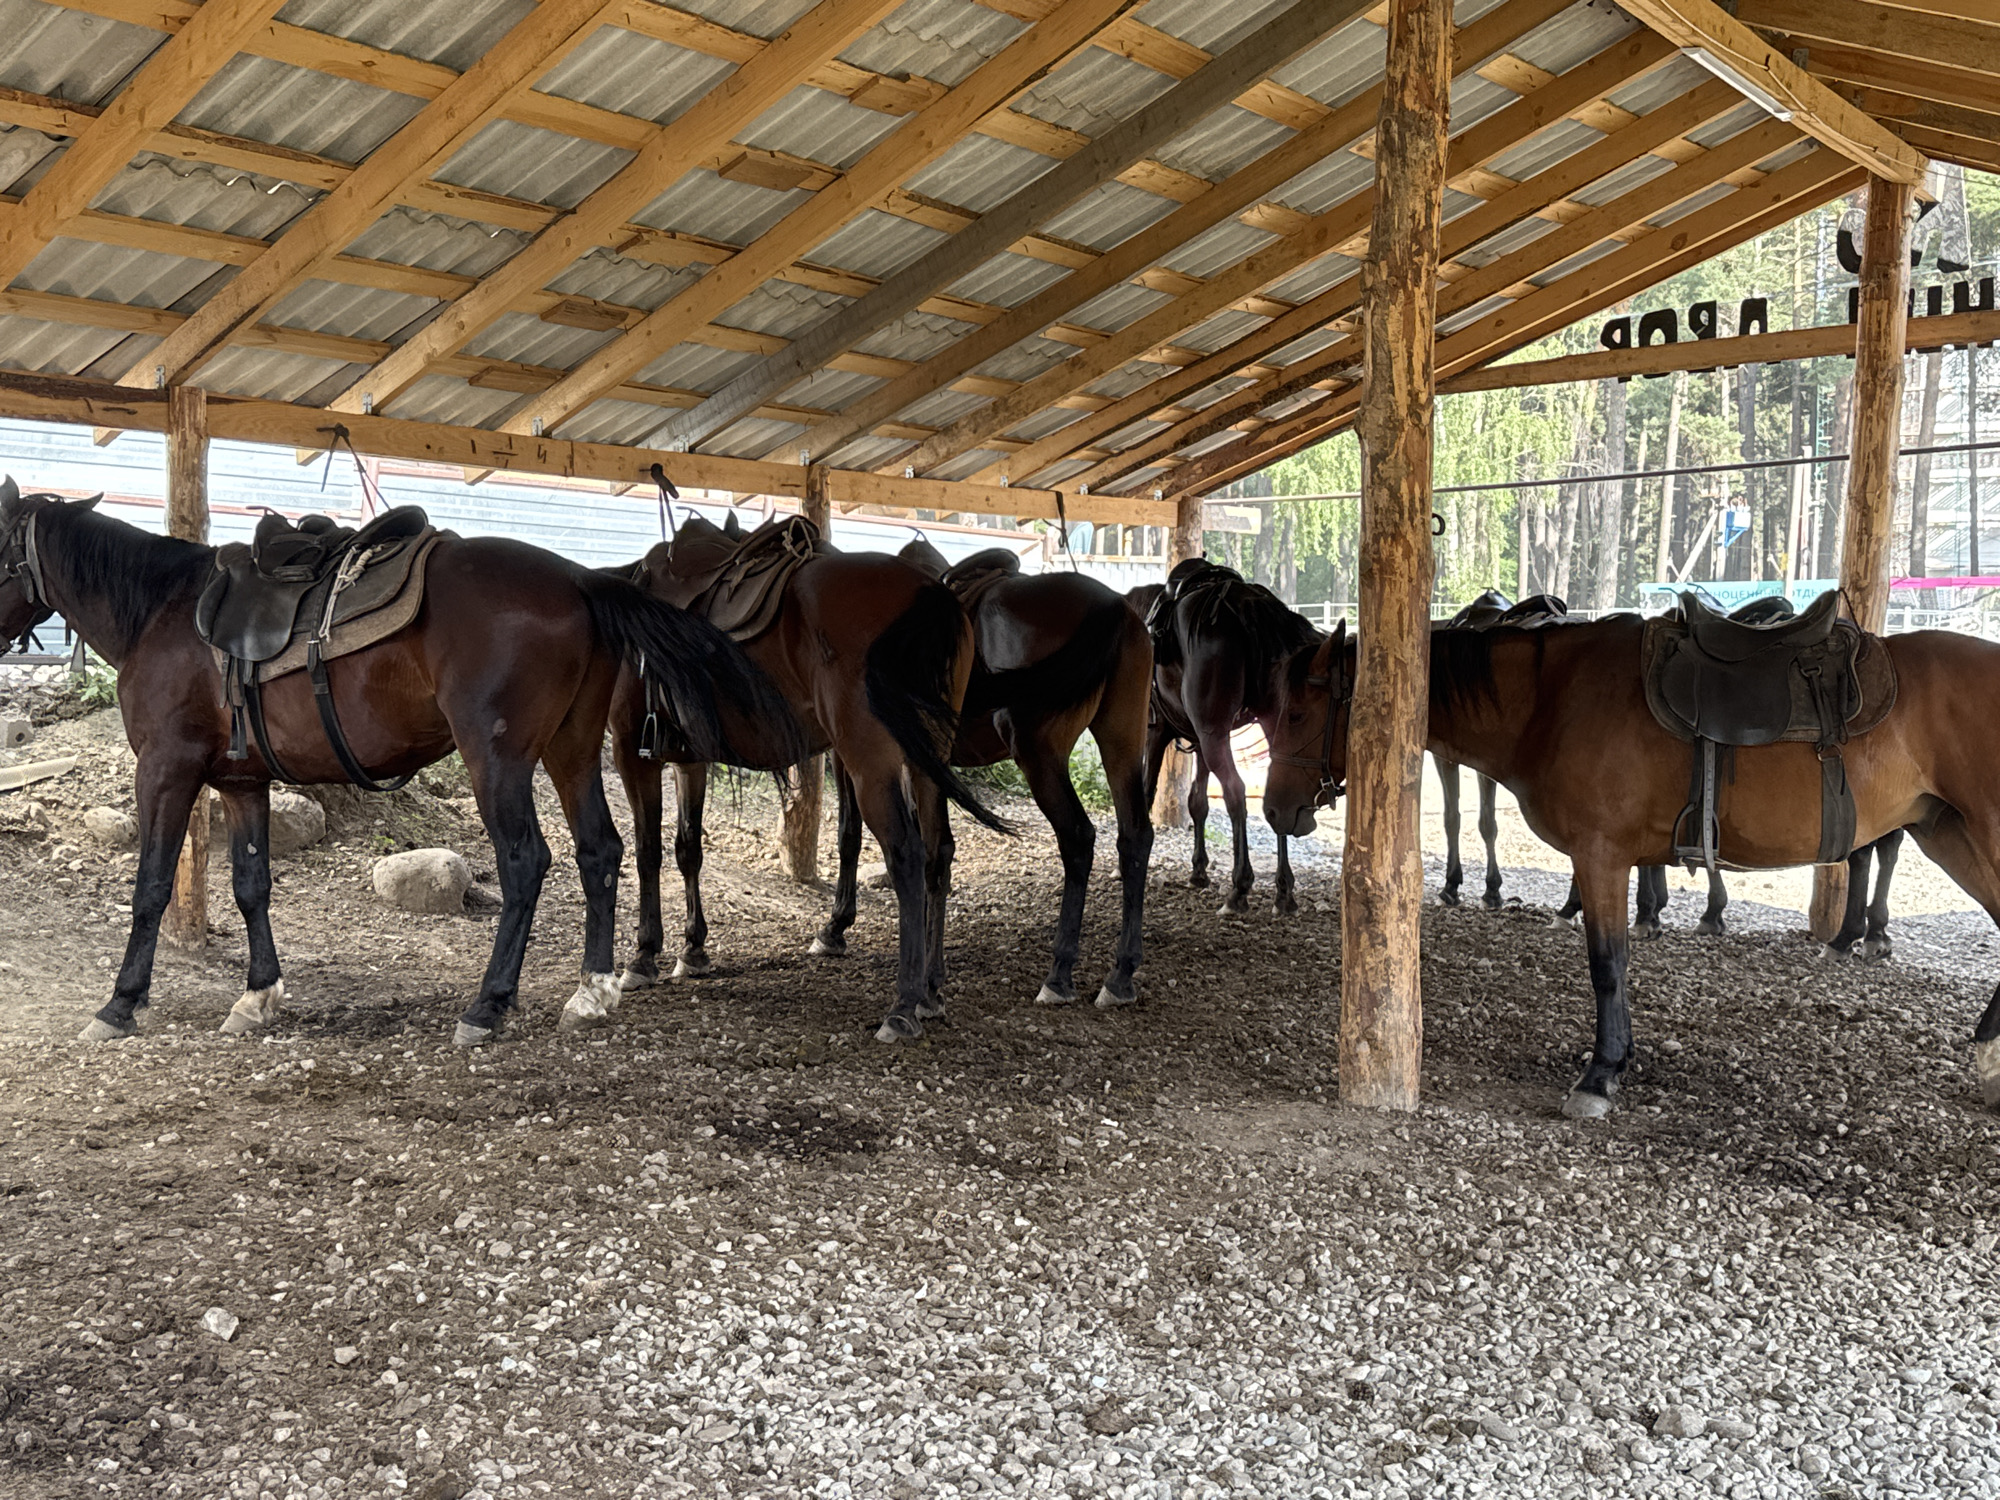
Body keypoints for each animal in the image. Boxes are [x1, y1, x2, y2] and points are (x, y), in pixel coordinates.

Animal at [0, 479, 794, 1048]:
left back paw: (487, 1006)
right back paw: (591, 991)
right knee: (600, 851)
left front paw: (119, 1004)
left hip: (497, 758)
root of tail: (576, 578)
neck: (157, 611)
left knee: (526, 862)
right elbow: (252, 887)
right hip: (569, 751)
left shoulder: (166, 771)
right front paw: (258, 997)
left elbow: (152, 887)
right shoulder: (241, 782)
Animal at [606, 520, 1005, 1043]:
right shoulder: (687, 760)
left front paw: (643, 955)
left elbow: (648, 850)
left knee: (907, 855)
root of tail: (928, 594)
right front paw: (693, 949)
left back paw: (903, 1003)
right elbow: (687, 848)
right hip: (926, 759)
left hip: (871, 761)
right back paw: (931, 989)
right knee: (939, 851)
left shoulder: (632, 753)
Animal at [815, 539, 1154, 1009]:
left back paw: (1059, 973)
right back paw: (1120, 975)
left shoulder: (854, 756)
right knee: (1135, 836)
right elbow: (932, 850)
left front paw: (836, 928)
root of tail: (1112, 607)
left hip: (1040, 754)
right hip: (1122, 743)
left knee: (1078, 838)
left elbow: (852, 834)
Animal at [1138, 559, 1321, 915]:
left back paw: (1240, 887)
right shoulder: (1199, 740)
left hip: (1214, 735)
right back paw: (1283, 891)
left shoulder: (1158, 732)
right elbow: (1197, 801)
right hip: (1259, 729)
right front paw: (1198, 870)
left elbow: (1147, 791)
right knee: (1278, 796)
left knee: (1236, 792)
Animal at [1259, 615, 2000, 1118]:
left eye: (1297, 712)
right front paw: (1621, 1059)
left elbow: (1607, 966)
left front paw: (1601, 1072)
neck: (1551, 698)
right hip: (1949, 835)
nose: (1276, 810)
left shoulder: (1602, 858)